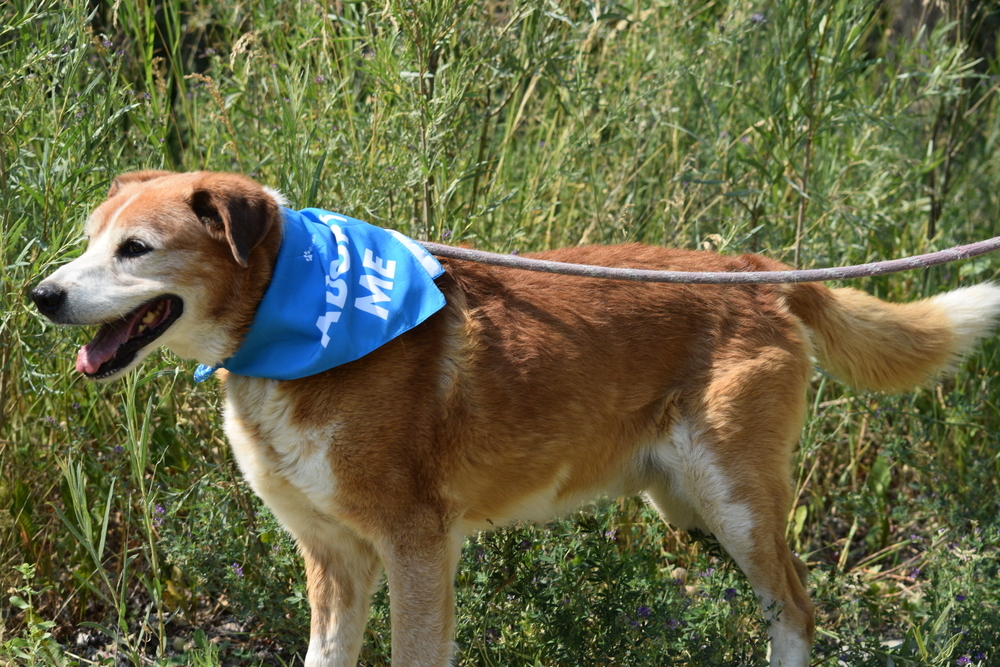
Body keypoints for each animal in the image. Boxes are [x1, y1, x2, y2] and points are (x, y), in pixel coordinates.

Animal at [29, 172, 1000, 667]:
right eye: (89, 240)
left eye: (136, 249)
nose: (41, 295)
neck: (295, 320)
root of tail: (759, 271)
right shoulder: (335, 561)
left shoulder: (418, 547)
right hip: (685, 507)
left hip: (737, 505)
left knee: (795, 610)